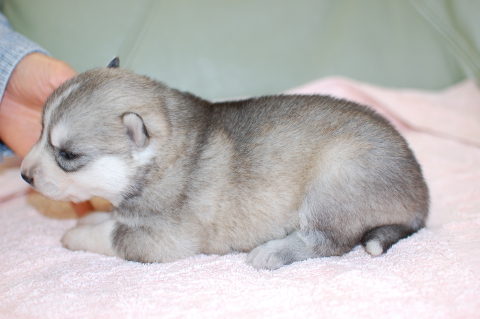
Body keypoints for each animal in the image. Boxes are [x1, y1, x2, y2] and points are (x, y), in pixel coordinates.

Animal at [20, 60, 430, 270]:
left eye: (68, 155)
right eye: (39, 131)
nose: (23, 175)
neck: (163, 156)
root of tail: (421, 198)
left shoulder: (163, 239)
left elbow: (111, 235)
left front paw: (76, 235)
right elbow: (111, 217)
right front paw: (93, 216)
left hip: (336, 180)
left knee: (327, 242)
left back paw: (273, 251)